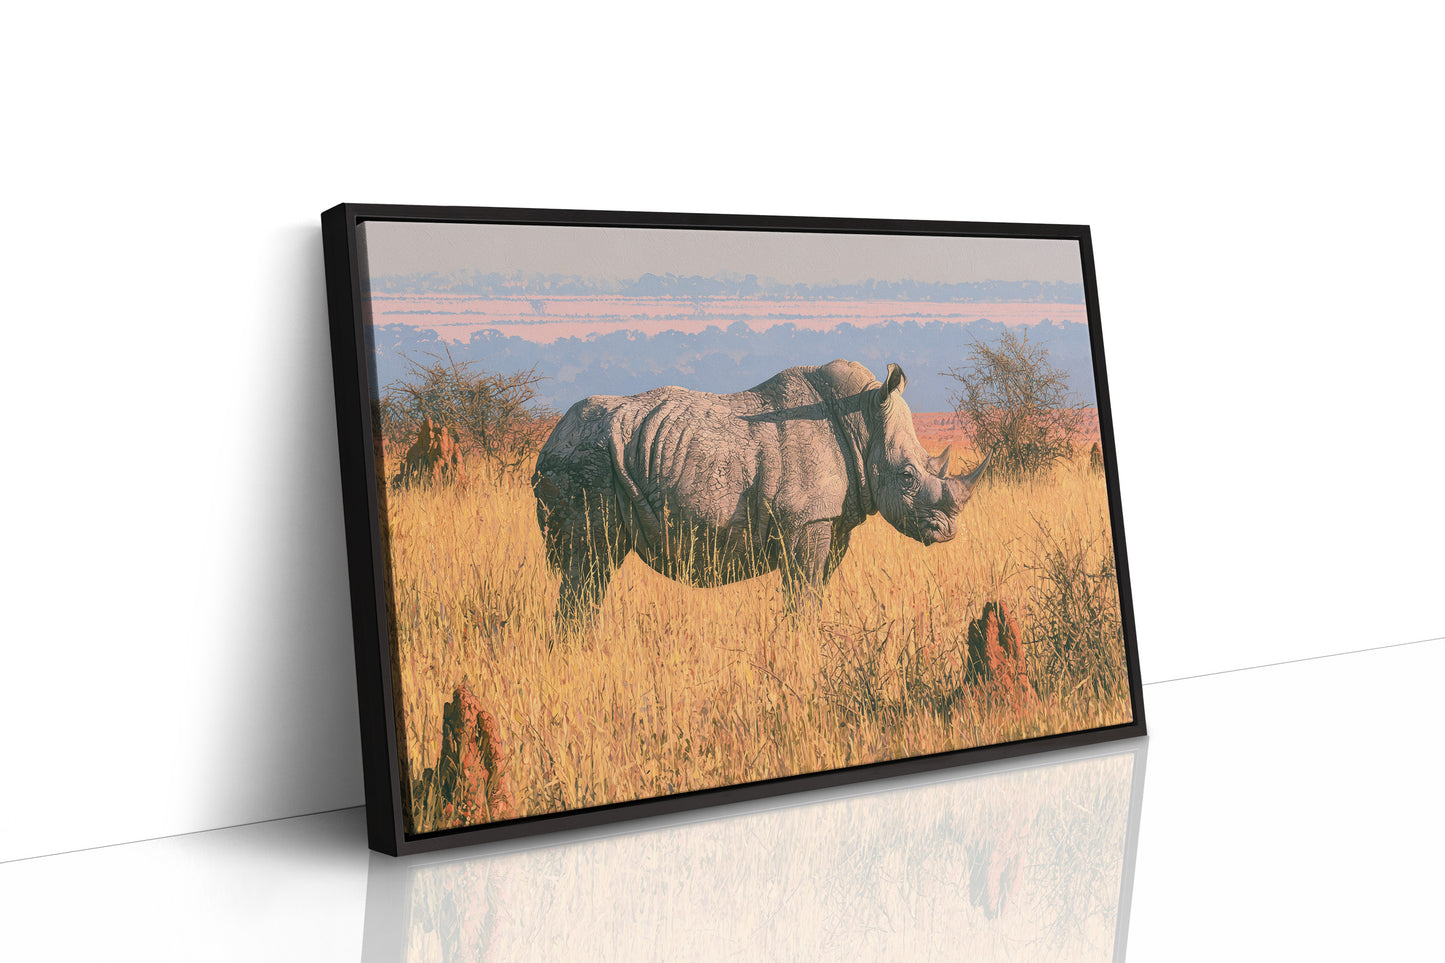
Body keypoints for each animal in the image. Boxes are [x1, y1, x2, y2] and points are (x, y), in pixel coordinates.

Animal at [531, 360, 990, 623]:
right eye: (908, 476)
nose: (947, 531)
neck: (863, 420)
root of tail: (550, 438)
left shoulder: (832, 521)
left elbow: (814, 589)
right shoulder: (806, 519)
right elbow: (802, 593)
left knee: (594, 567)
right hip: (586, 456)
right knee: (590, 560)